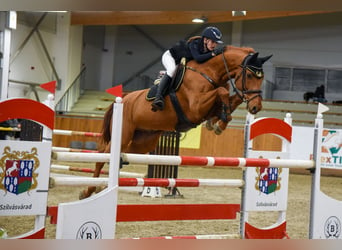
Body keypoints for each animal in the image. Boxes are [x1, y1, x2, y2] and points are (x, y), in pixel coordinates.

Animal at [80, 45, 272, 199]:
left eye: (262, 78)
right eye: (249, 75)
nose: (256, 107)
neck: (209, 72)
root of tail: (125, 98)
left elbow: (229, 102)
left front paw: (218, 123)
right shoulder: (196, 107)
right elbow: (221, 92)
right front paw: (218, 122)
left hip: (142, 142)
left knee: (119, 153)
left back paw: (101, 187)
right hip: (125, 133)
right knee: (103, 153)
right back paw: (88, 190)